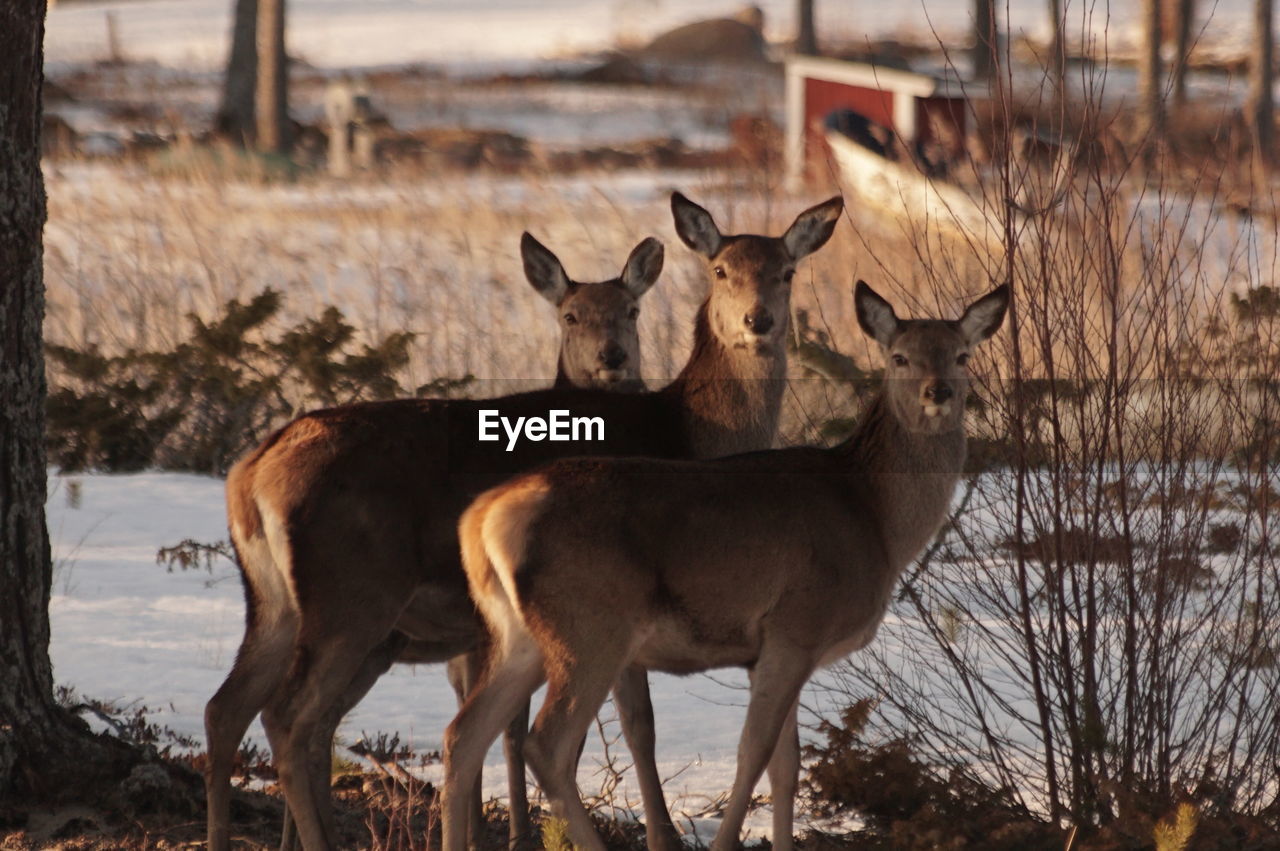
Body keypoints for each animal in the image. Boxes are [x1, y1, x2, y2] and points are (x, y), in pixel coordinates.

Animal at [204, 191, 844, 849]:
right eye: (720, 271)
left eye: (786, 272)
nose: (758, 322)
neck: (691, 435)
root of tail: (251, 472)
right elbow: (638, 724)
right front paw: (658, 835)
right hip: (353, 593)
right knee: (287, 716)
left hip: (277, 603)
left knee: (229, 707)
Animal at [442, 278, 1008, 849]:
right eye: (899, 356)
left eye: (962, 355)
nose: (938, 392)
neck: (877, 520)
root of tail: (485, 516)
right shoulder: (796, 626)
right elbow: (753, 753)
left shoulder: (775, 649)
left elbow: (786, 767)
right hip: (590, 624)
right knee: (545, 744)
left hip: (520, 634)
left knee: (462, 735)